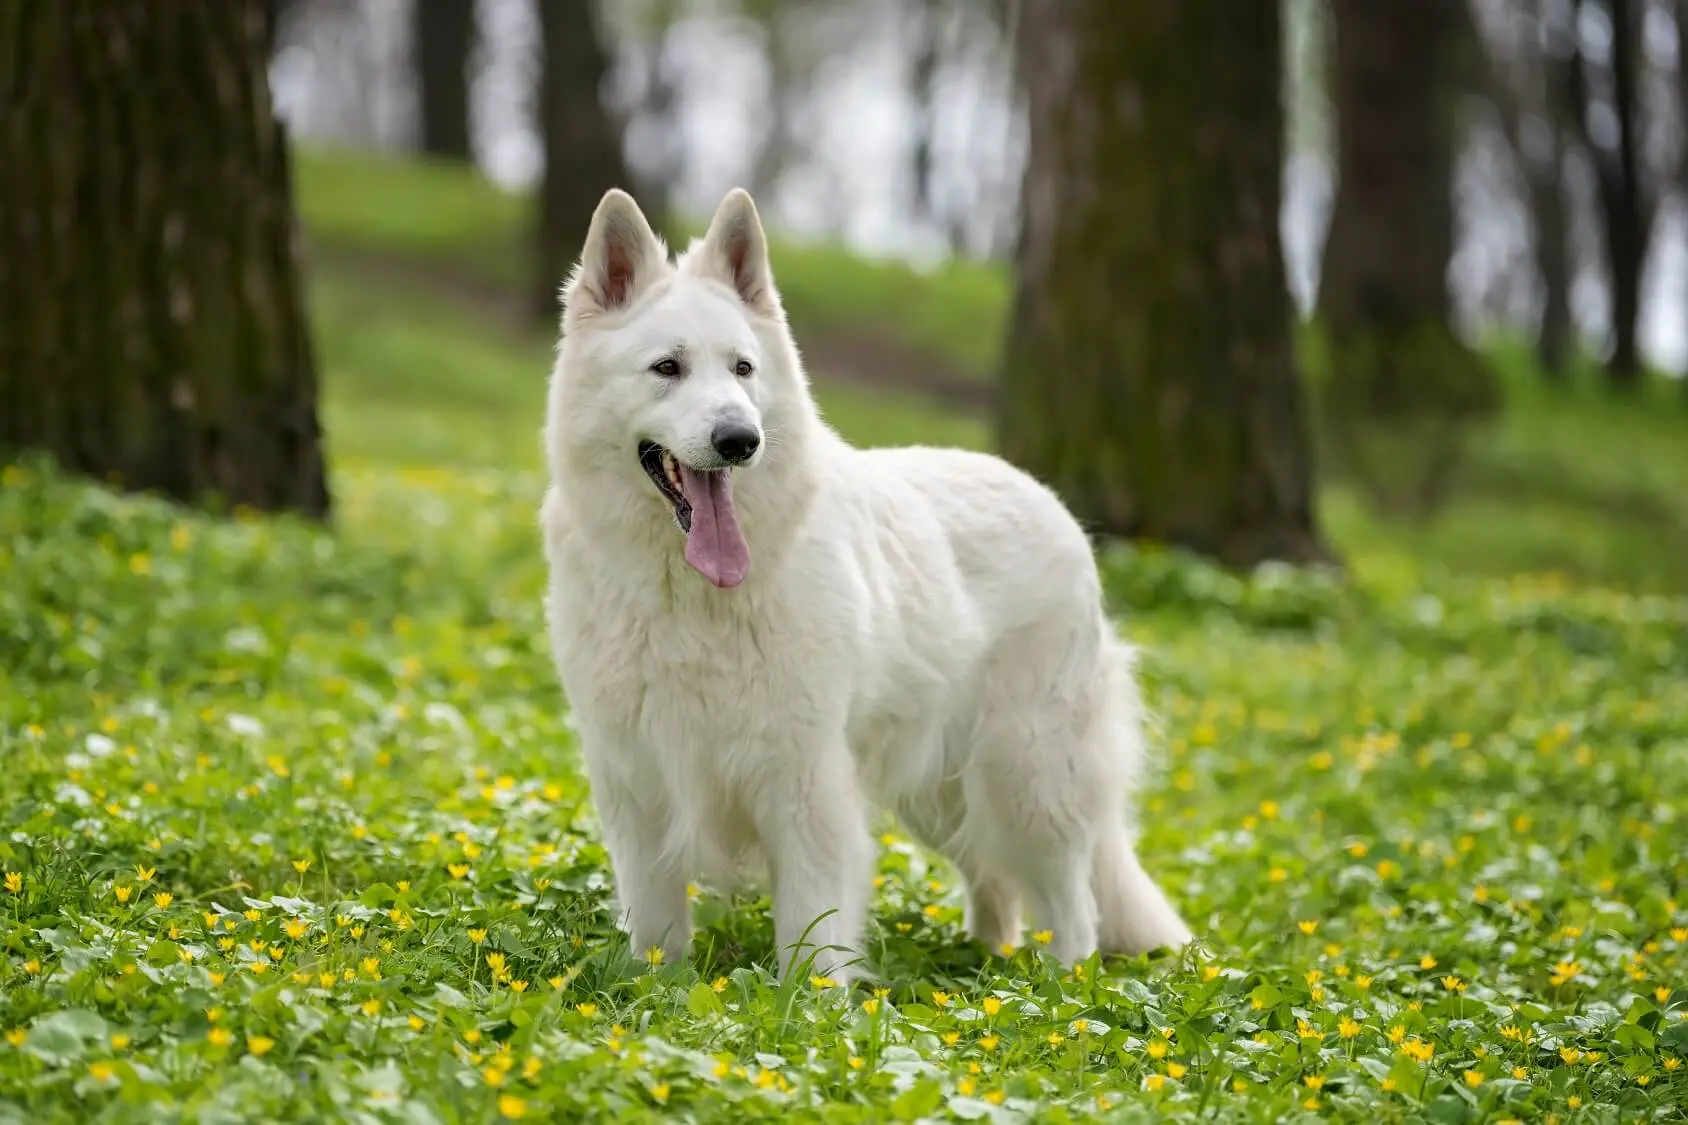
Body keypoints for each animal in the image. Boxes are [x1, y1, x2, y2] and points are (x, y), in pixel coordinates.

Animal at [536, 185, 1188, 979]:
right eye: (667, 368)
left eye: (743, 369)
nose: (740, 441)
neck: (689, 595)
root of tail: (1047, 498)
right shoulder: (638, 783)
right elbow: (657, 924)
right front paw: (654, 987)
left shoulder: (806, 787)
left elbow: (812, 935)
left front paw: (812, 1008)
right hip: (942, 792)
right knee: (997, 881)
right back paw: (989, 965)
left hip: (1027, 778)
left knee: (1071, 902)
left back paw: (1059, 986)